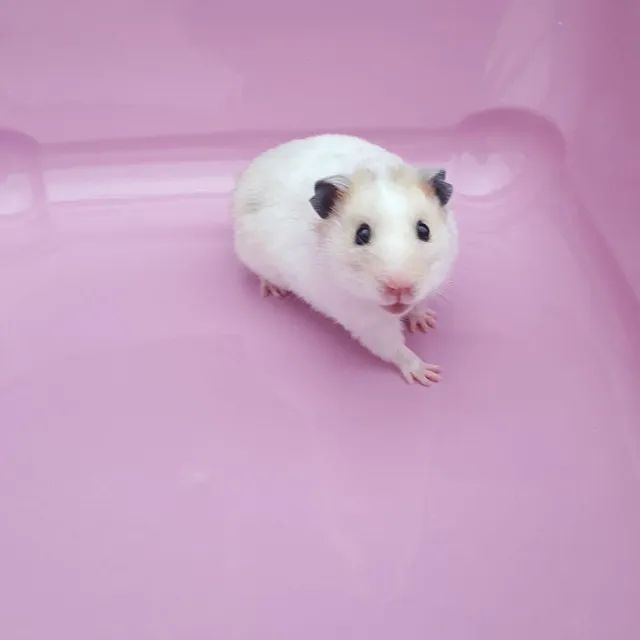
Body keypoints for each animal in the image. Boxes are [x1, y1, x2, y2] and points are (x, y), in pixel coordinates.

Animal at [232, 134, 458, 385]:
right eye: (362, 234)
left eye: (424, 230)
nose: (399, 288)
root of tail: (251, 169)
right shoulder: (364, 321)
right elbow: (394, 349)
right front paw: (428, 374)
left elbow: (419, 304)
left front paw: (425, 322)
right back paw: (274, 290)